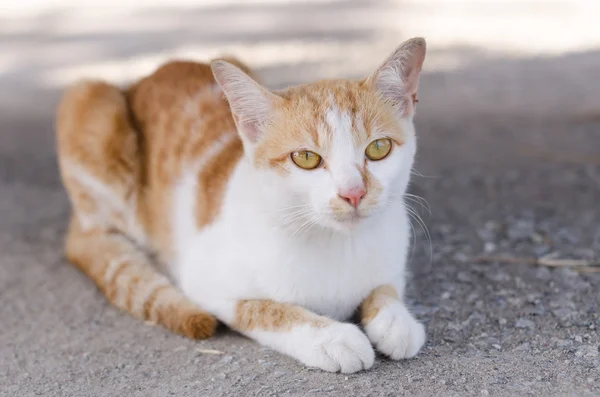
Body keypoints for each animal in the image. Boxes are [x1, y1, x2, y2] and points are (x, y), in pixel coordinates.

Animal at [55, 37, 426, 372]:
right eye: (306, 158)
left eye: (378, 148)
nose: (353, 193)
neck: (336, 244)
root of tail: (149, 75)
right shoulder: (204, 281)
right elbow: (266, 310)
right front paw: (332, 338)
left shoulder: (393, 259)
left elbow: (386, 287)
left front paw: (396, 321)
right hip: (90, 104)